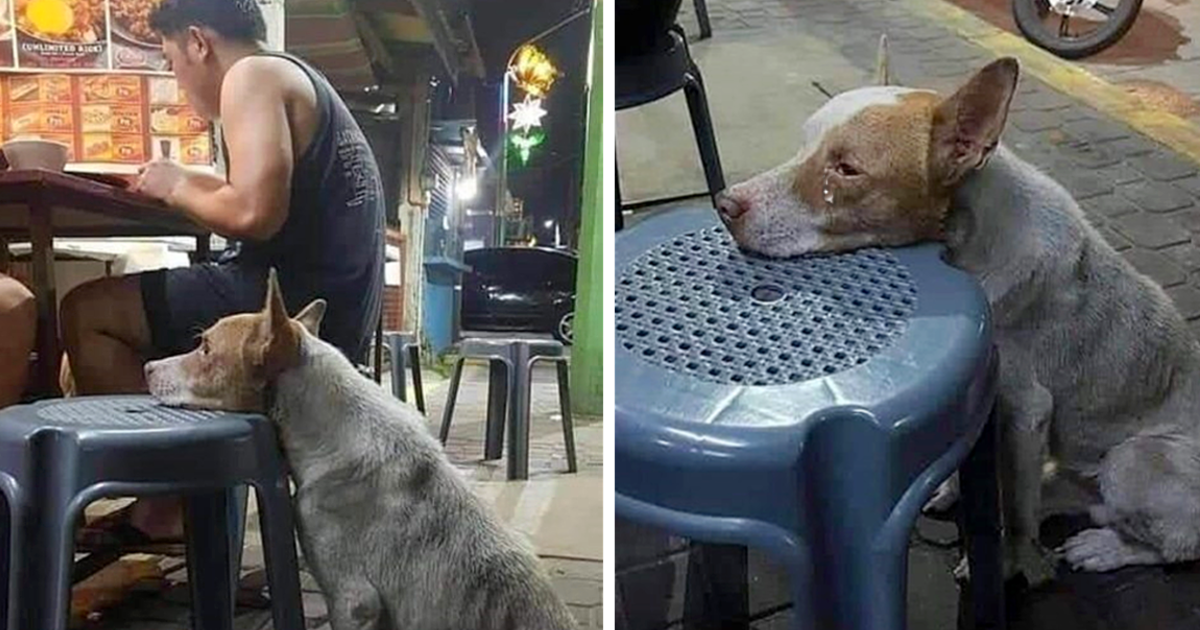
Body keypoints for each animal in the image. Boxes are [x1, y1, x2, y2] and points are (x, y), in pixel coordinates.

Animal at [715, 40, 1200, 585]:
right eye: (803, 144)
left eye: (847, 169)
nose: (725, 204)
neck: (966, 240)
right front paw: (950, 491)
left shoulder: (1026, 410)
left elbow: (1015, 511)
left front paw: (1008, 564)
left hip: (1134, 459)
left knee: (1176, 545)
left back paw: (1105, 548)